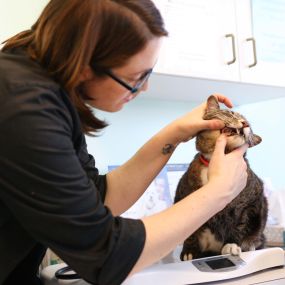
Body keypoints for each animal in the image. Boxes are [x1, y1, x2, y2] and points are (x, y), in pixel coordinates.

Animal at [173, 95, 268, 260]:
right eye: (231, 113)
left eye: (249, 125)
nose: (245, 123)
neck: (217, 160)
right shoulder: (182, 196)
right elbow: (190, 232)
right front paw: (190, 250)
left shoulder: (251, 203)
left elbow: (240, 225)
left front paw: (231, 245)